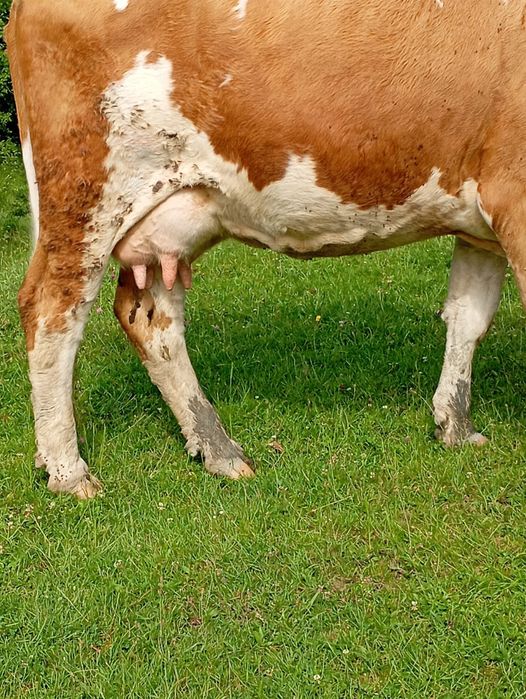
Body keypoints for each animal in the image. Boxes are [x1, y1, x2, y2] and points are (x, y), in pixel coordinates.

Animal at [5, 0, 524, 498]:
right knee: (52, 313)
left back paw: (217, 449)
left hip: (170, 217)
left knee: (150, 317)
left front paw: (456, 427)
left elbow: (468, 318)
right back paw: (69, 471)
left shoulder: (481, 225)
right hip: (84, 192)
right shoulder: (513, 201)